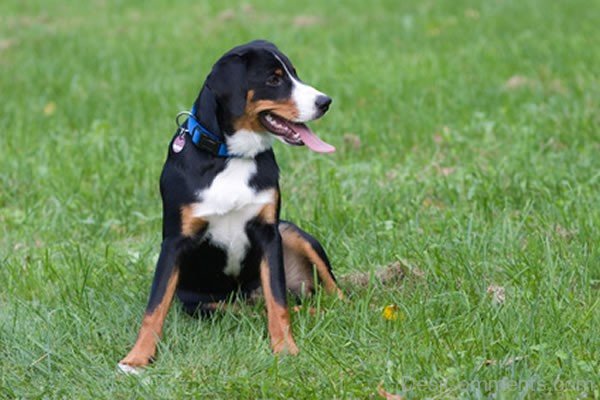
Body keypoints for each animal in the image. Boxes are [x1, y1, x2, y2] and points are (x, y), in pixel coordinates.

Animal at [118, 39, 342, 374]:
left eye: (294, 73)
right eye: (274, 79)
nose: (324, 102)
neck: (231, 157)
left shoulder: (268, 233)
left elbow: (278, 302)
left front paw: (285, 348)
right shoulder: (174, 242)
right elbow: (154, 307)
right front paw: (137, 357)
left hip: (291, 232)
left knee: (324, 295)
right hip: (207, 305)